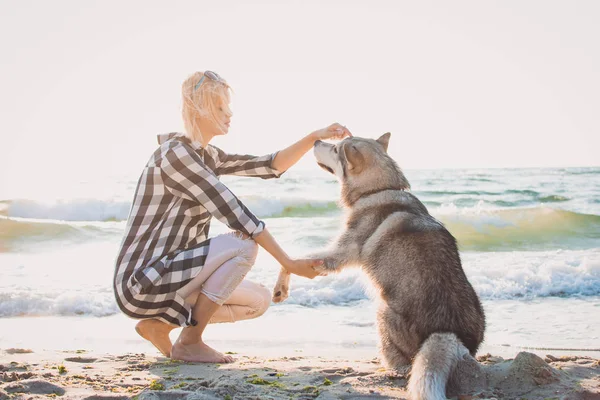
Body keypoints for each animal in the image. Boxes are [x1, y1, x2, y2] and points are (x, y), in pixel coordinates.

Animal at [272, 134, 488, 400]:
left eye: (335, 149)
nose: (316, 141)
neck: (378, 190)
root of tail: (452, 335)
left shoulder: (340, 253)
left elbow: (291, 262)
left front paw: (280, 287)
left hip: (382, 311)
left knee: (402, 363)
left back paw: (386, 367)